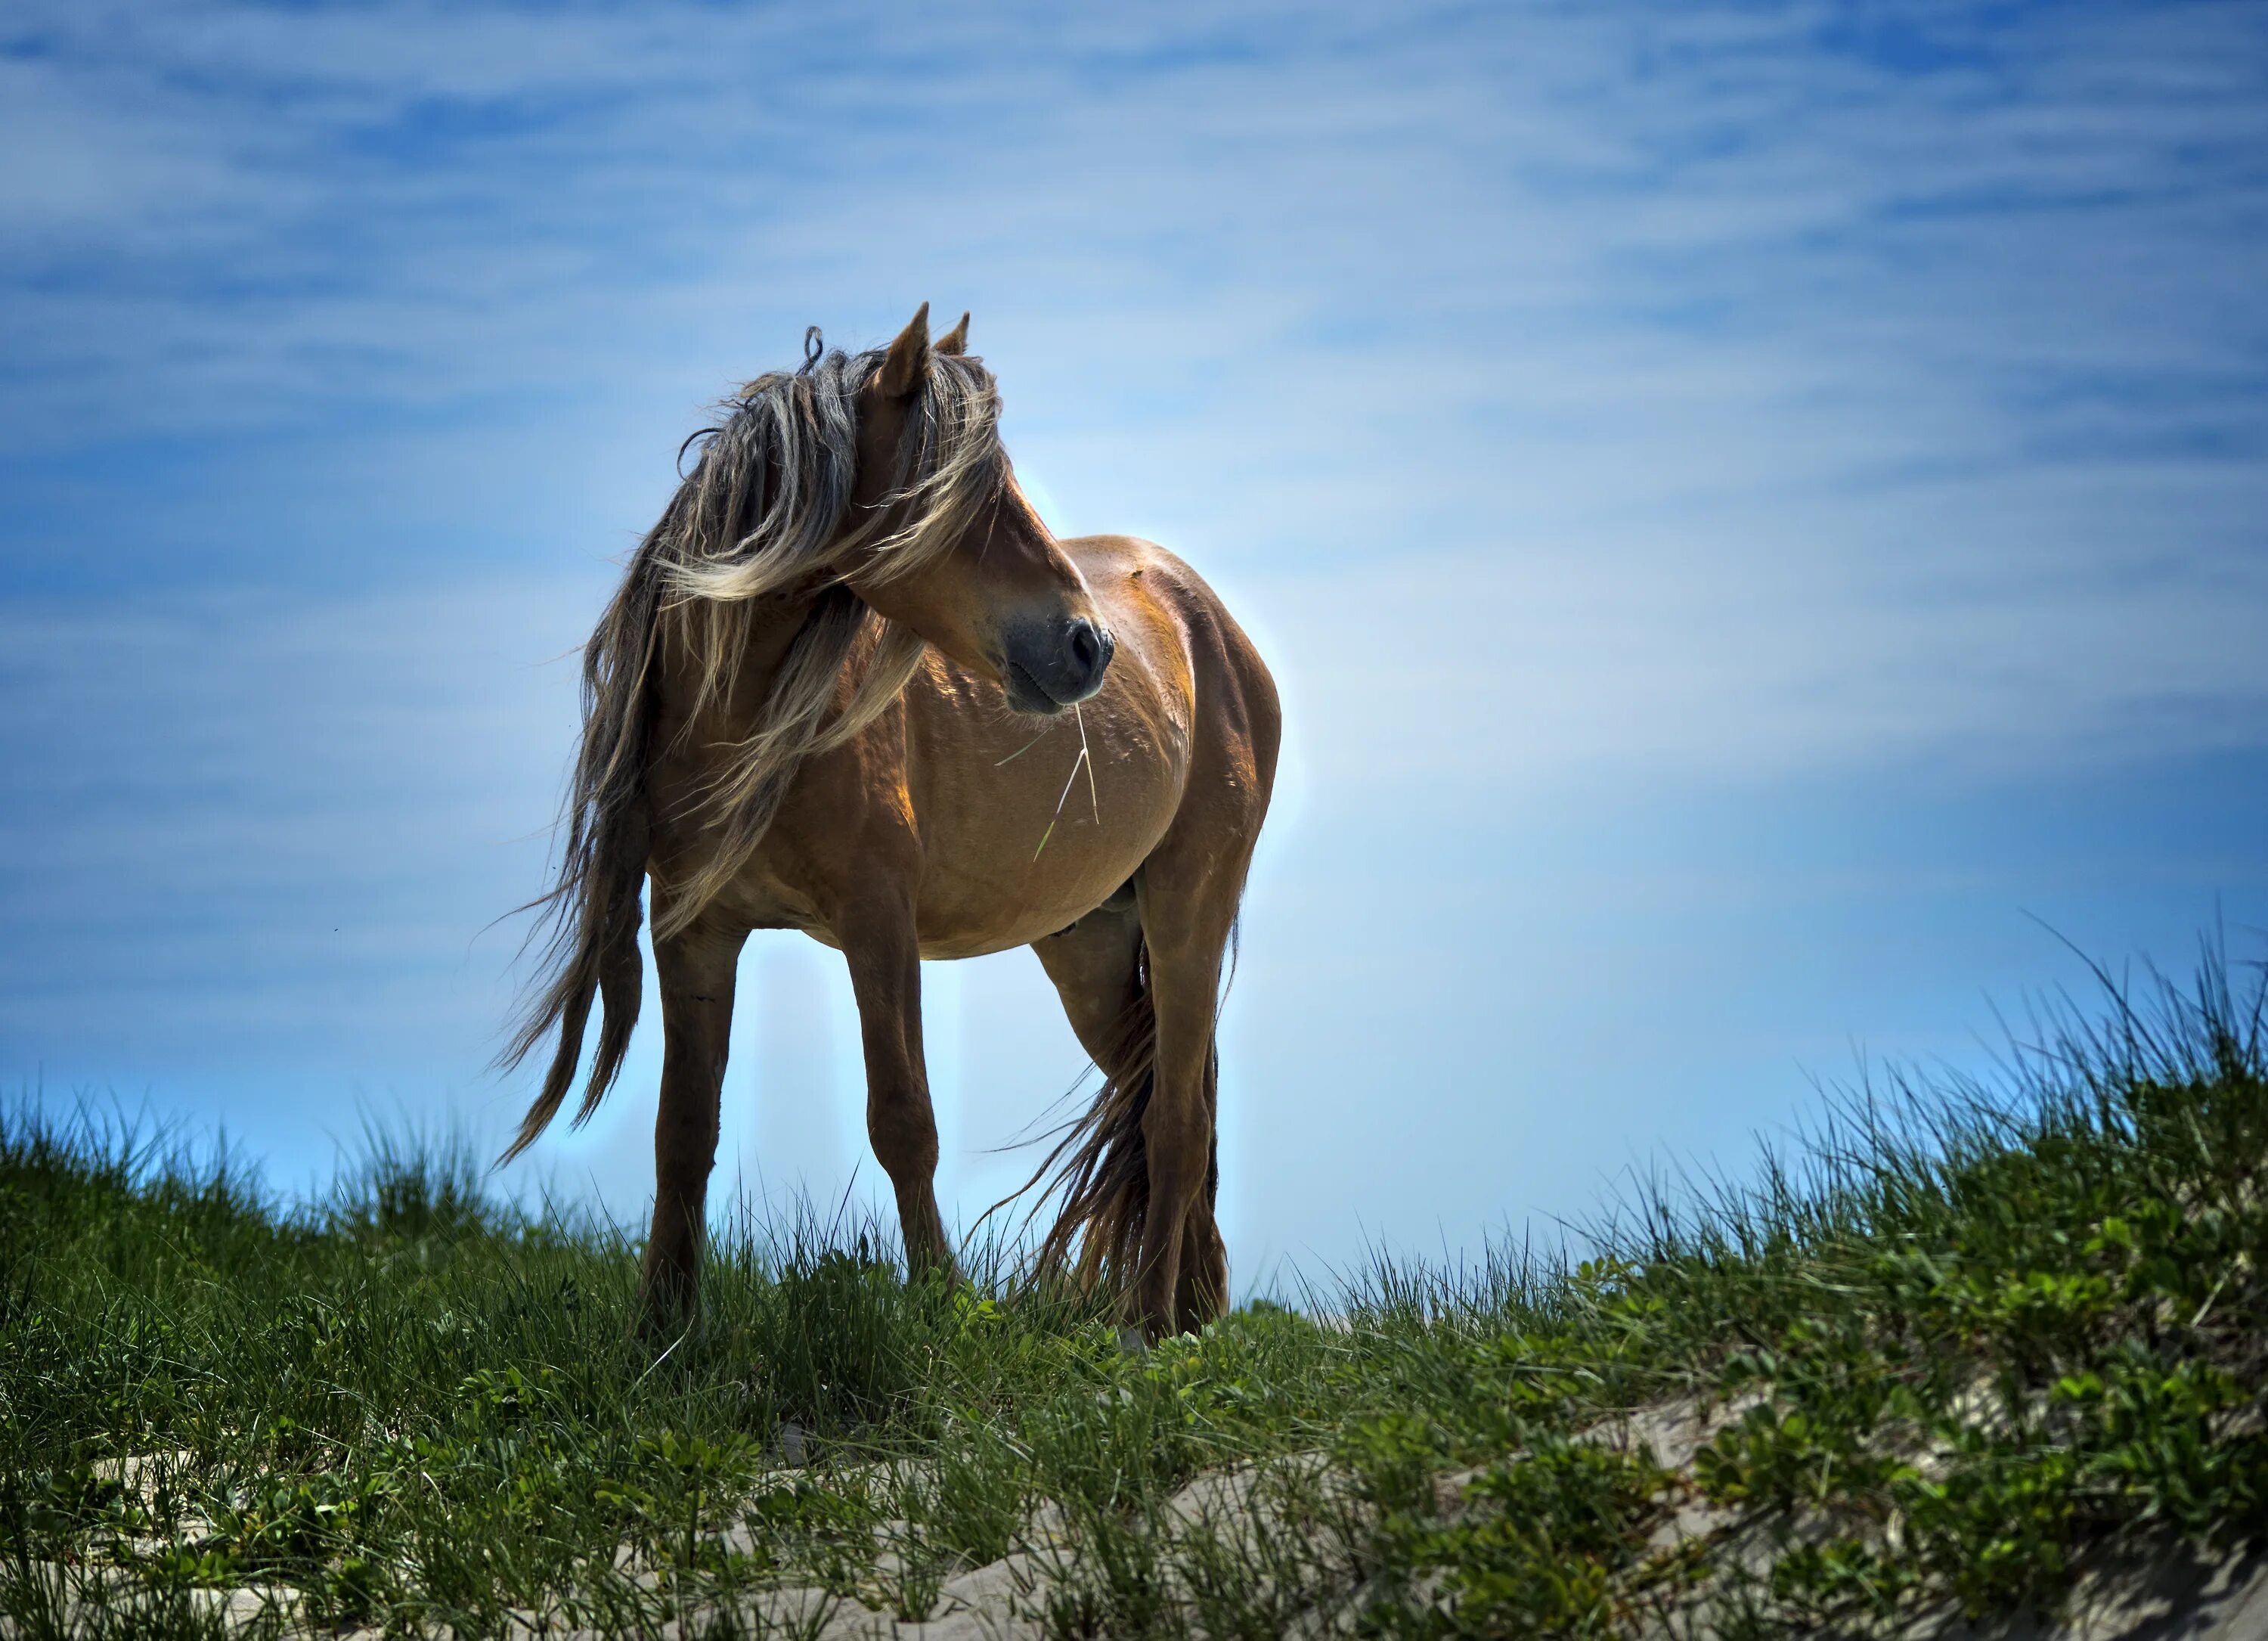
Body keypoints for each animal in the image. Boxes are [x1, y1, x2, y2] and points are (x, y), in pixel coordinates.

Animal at [506, 309, 1279, 1343]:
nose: (1090, 647)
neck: (748, 724)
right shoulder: (694, 934)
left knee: (1177, 1124)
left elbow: (904, 1118)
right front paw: (661, 1329)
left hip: (1188, 909)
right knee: (1157, 1099)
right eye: (971, 491)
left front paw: (942, 1304)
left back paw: (1151, 1328)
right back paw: (1191, 1305)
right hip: (1092, 947)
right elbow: (684, 1129)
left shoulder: (879, 923)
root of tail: (1210, 624)